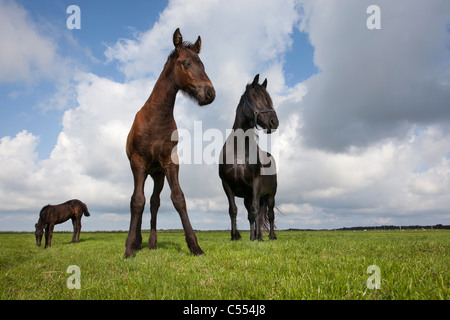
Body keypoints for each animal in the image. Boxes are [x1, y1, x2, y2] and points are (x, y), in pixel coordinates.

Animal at [123, 27, 214, 258]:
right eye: (185, 63)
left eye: (203, 64)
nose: (210, 93)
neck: (156, 119)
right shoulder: (138, 162)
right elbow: (136, 201)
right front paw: (129, 248)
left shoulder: (170, 162)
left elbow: (178, 198)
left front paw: (195, 246)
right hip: (143, 170)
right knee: (141, 199)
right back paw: (137, 241)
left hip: (157, 175)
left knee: (154, 202)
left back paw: (151, 242)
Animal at [220, 74, 280, 240]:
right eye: (256, 97)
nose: (274, 122)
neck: (239, 151)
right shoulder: (227, 185)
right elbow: (233, 210)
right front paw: (235, 236)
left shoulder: (256, 184)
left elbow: (256, 211)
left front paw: (256, 237)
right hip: (249, 197)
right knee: (253, 215)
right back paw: (255, 236)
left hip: (270, 195)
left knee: (269, 214)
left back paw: (269, 236)